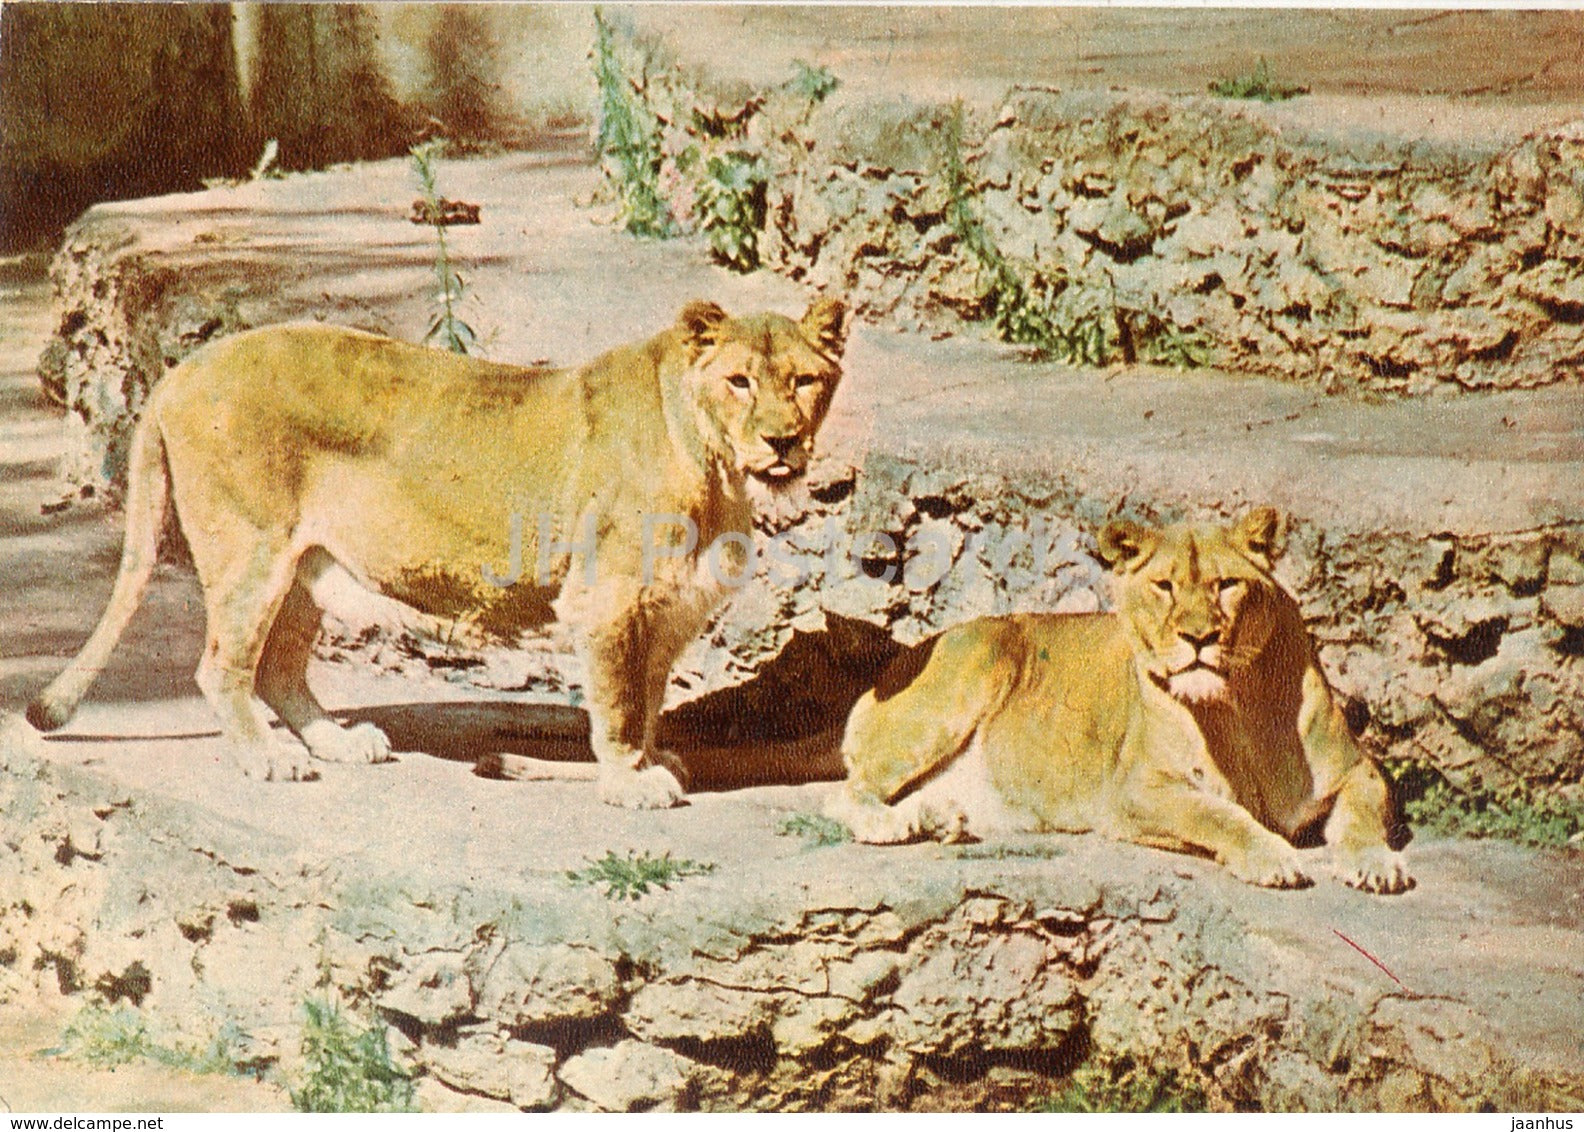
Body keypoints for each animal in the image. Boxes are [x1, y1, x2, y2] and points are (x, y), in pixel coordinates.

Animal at [29, 298, 848, 808]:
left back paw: (336, 742)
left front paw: (653, 763)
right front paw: (629, 783)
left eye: (805, 382)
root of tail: (182, 369)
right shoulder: (608, 602)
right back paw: (270, 758)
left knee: (277, 668)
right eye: (739, 382)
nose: (782, 441)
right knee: (221, 666)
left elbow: (646, 703)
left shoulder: (666, 612)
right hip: (250, 553)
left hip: (302, 566)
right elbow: (618, 706)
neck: (716, 466)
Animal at [827, 508, 1412, 893]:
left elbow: (1362, 815)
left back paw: (939, 819)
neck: (1238, 705)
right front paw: (1272, 856)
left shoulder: (1358, 769)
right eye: (1164, 587)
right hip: (975, 662)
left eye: (1226, 585)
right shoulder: (1136, 791)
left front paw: (1377, 864)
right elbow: (1218, 815)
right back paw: (898, 824)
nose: (1199, 637)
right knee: (849, 792)